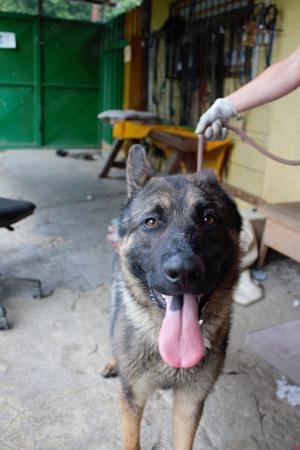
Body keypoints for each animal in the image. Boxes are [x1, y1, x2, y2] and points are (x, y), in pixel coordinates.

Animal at [103, 145, 241, 450]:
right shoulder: (132, 398)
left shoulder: (189, 404)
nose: (184, 271)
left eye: (209, 219)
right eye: (151, 222)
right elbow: (131, 441)